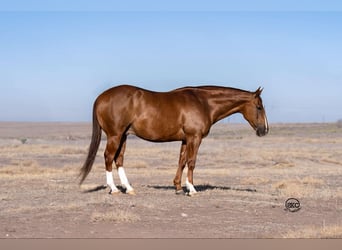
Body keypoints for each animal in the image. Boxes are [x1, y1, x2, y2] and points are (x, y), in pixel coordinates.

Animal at [79, 84, 268, 195]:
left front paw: (178, 187)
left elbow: (181, 161)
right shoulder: (194, 138)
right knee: (108, 157)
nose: (264, 130)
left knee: (119, 160)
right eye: (259, 107)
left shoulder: (185, 140)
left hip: (123, 136)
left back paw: (129, 188)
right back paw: (114, 189)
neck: (203, 102)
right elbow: (191, 162)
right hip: (115, 135)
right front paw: (191, 189)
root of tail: (101, 98)